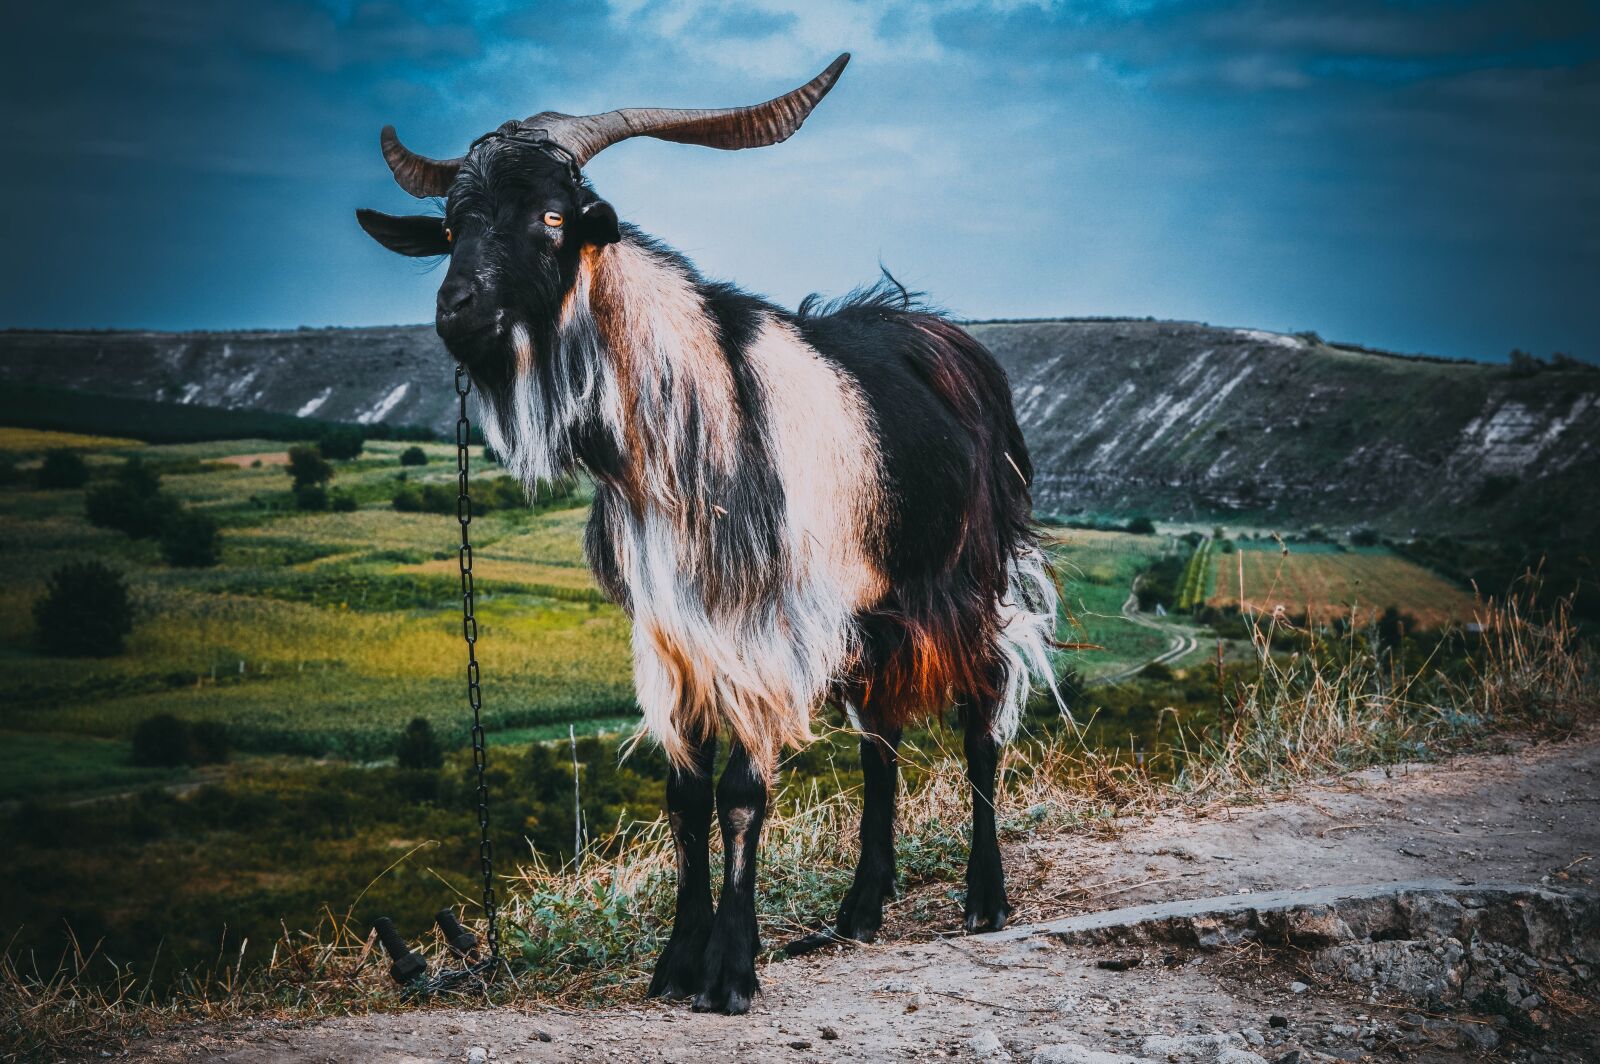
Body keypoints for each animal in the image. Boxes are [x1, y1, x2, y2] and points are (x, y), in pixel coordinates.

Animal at [357, 53, 1063, 1015]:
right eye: (452, 224)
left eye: (550, 216)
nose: (456, 309)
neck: (684, 417)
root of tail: (952, 342)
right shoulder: (671, 631)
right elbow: (686, 793)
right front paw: (677, 961)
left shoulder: (769, 626)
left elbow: (740, 792)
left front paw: (730, 970)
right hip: (873, 612)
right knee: (879, 737)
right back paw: (859, 910)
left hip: (964, 578)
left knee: (981, 709)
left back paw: (984, 898)